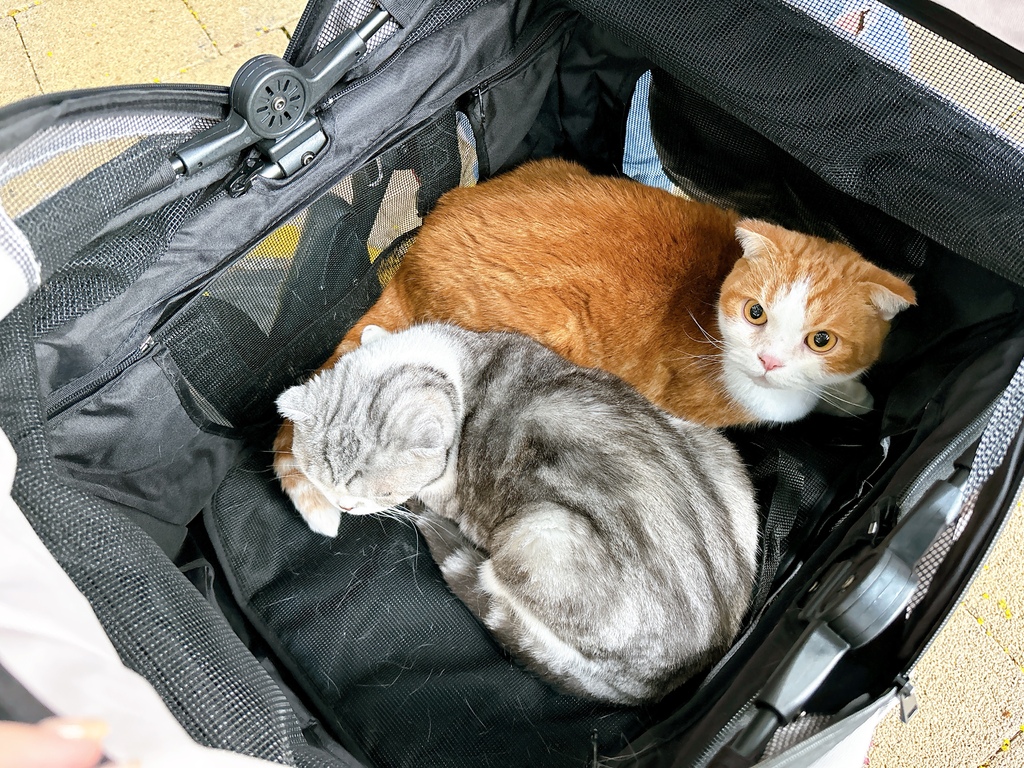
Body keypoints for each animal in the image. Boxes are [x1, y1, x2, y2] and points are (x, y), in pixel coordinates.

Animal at [276, 323, 759, 704]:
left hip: (539, 533)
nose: (344, 505)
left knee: (495, 585)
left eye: (382, 492)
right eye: (321, 479)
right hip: (719, 456)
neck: (453, 368)